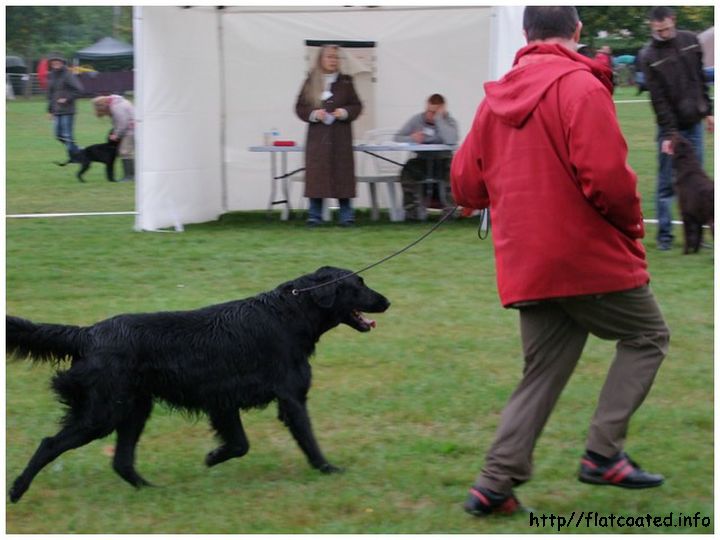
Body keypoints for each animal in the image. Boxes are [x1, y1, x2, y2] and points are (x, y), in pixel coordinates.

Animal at [5, 266, 390, 502]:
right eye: (358, 285)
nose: (387, 300)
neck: (290, 312)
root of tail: (88, 333)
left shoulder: (223, 400)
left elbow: (240, 444)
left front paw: (212, 457)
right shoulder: (290, 397)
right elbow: (307, 440)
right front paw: (329, 469)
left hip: (133, 408)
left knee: (122, 461)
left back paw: (151, 490)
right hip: (102, 413)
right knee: (49, 443)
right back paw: (17, 490)